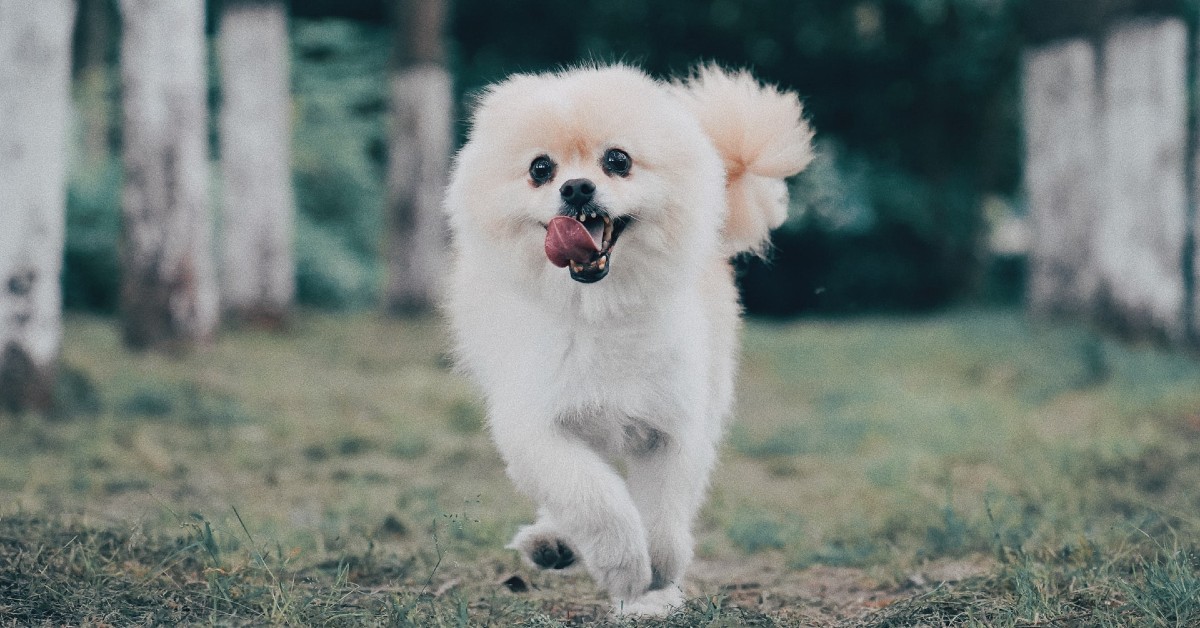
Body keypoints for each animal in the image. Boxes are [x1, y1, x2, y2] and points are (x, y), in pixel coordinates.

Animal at [444, 65, 816, 619]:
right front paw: (622, 564)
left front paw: (657, 575)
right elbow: (592, 497)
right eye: (539, 168)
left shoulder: (672, 425)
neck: (601, 312)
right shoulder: (537, 424)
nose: (577, 188)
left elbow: (662, 513)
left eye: (617, 160)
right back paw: (554, 541)